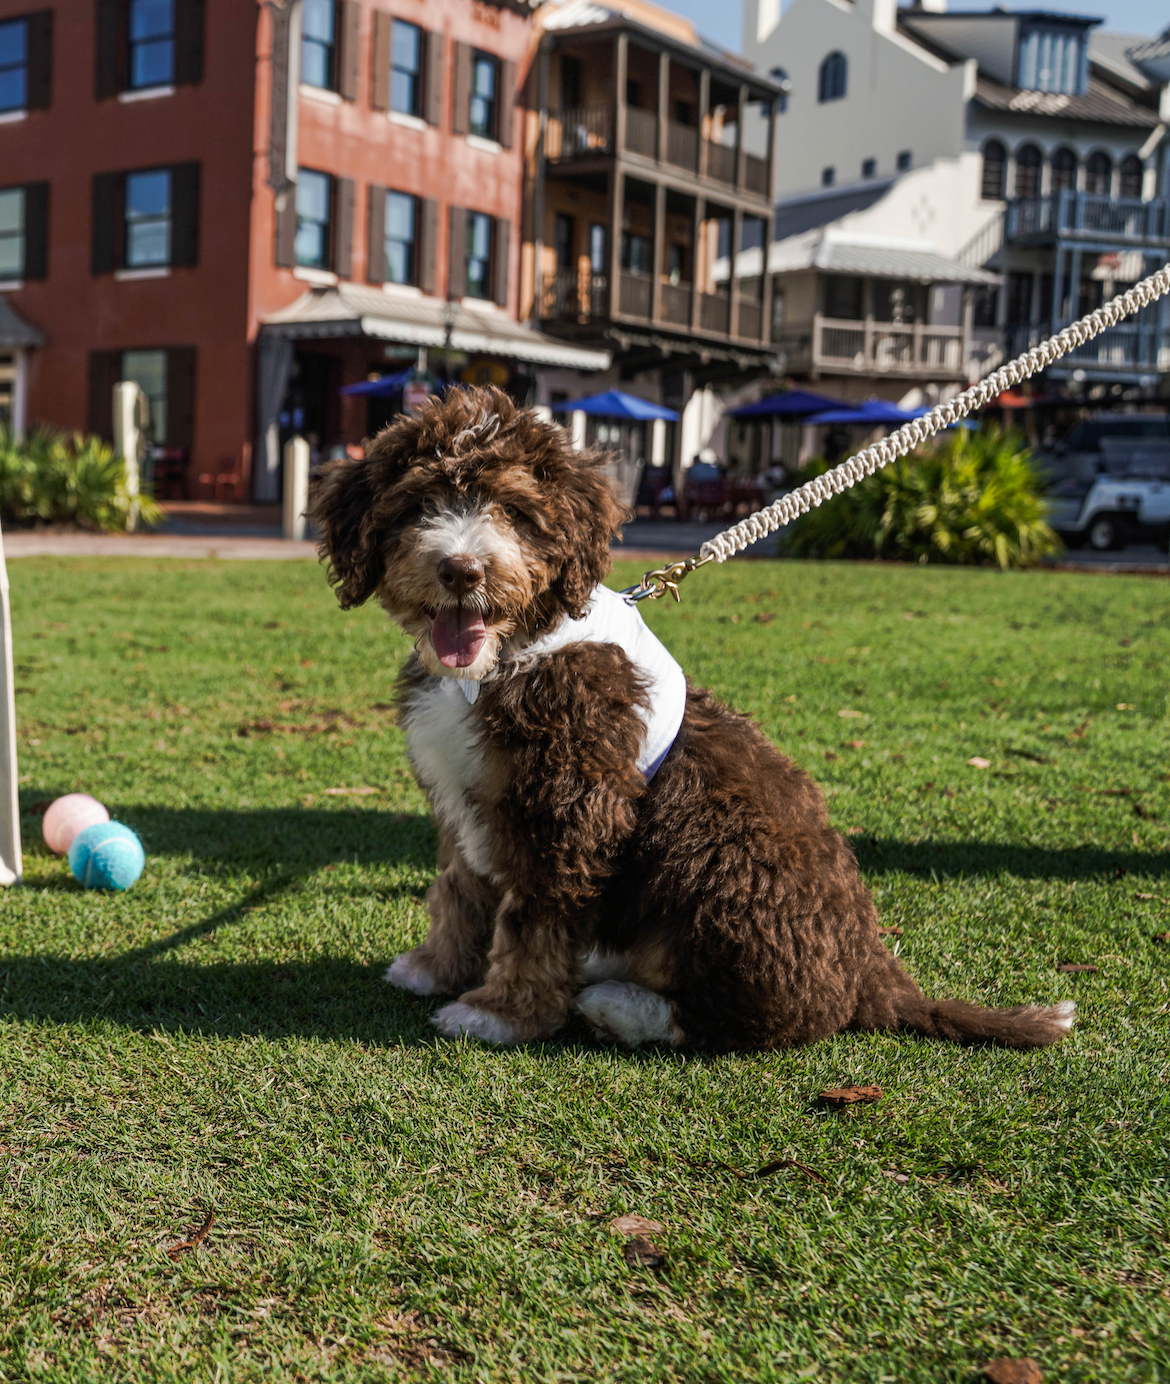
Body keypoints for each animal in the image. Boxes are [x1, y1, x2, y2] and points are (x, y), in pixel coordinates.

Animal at [306, 384, 1074, 1051]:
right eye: (421, 503)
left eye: (515, 512)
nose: (463, 571)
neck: (507, 658)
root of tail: (871, 970)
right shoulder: (466, 799)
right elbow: (459, 889)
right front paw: (436, 968)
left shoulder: (572, 805)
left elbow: (535, 920)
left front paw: (503, 1014)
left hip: (722, 862)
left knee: (752, 1018)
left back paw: (615, 1005)